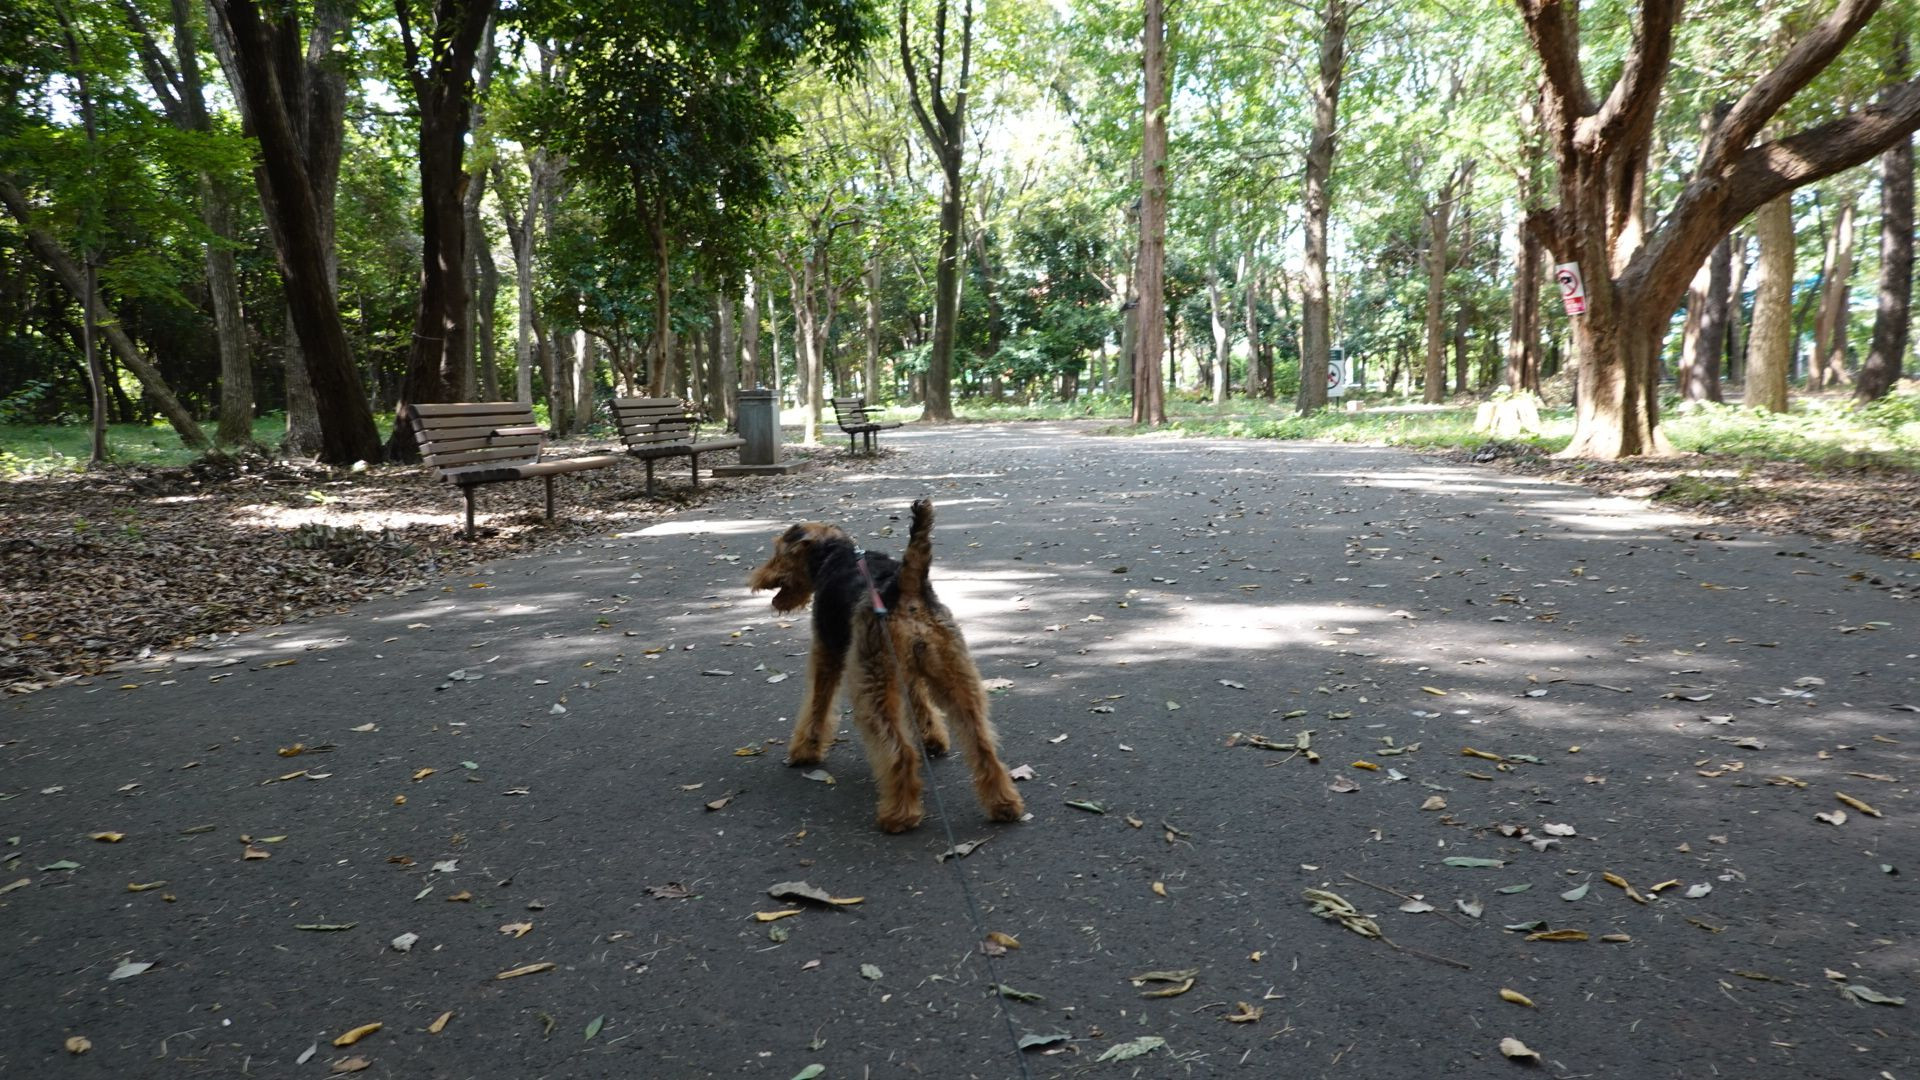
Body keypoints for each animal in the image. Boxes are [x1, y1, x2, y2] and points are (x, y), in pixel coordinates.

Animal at [747, 499, 1024, 833]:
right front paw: (932, 739)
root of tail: (906, 586)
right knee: (982, 744)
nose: (757, 579)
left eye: (778, 550)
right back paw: (1004, 805)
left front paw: (805, 750)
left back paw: (899, 815)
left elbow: (817, 706)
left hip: (872, 682)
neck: (834, 555)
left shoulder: (826, 653)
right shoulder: (908, 672)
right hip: (953, 673)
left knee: (901, 752)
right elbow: (921, 705)